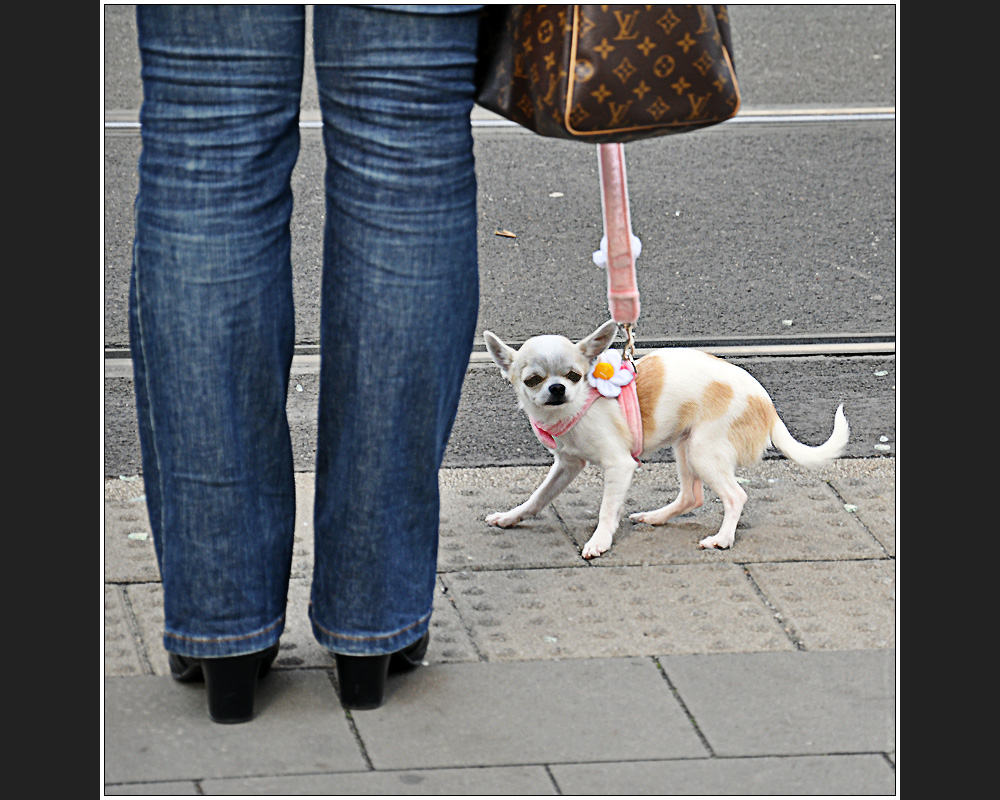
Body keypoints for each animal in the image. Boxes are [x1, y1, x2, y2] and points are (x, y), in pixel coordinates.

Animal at [480, 322, 848, 560]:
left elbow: (606, 509)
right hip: (685, 446)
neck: (572, 409)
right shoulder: (567, 465)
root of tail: (766, 403)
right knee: (692, 496)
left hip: (703, 451)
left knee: (735, 496)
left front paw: (600, 541)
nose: (557, 389)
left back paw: (723, 539)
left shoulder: (620, 465)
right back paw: (655, 517)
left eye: (574, 376)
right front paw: (512, 517)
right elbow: (539, 497)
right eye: (532, 380)